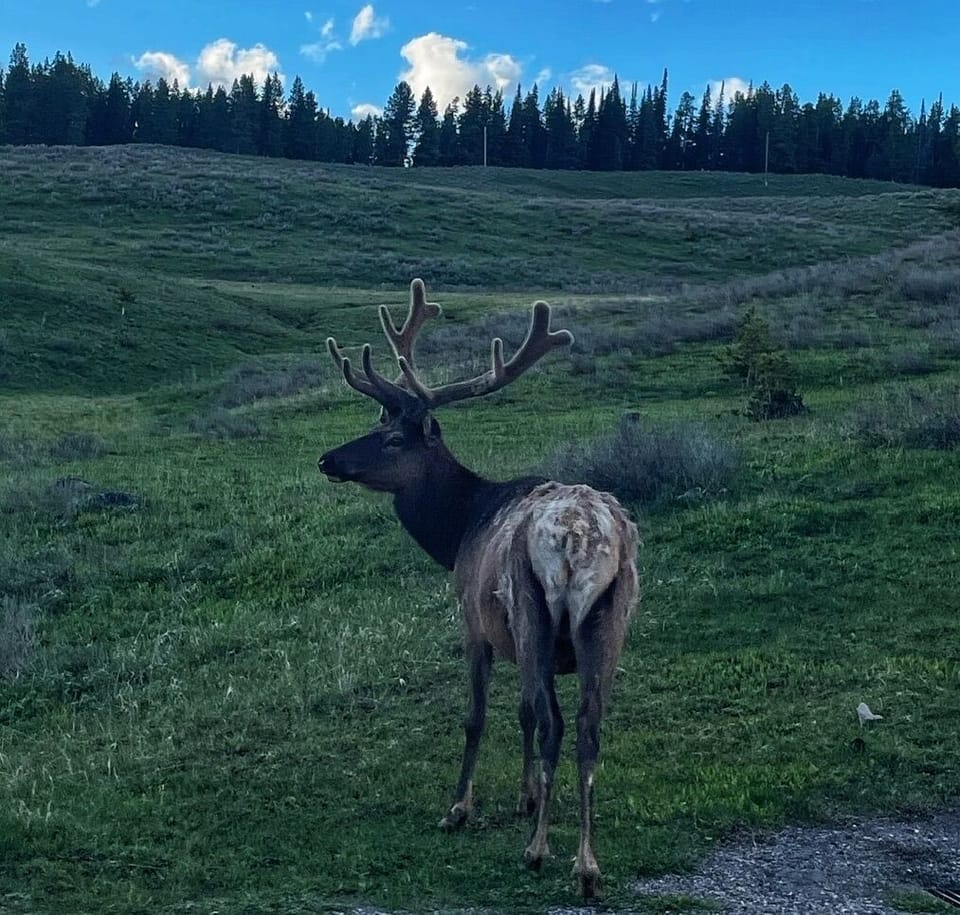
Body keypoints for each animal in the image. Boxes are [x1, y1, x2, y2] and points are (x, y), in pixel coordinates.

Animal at [317, 279, 639, 899]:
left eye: (392, 440)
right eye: (376, 426)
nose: (327, 458)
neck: (460, 529)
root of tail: (579, 538)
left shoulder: (473, 619)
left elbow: (479, 715)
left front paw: (459, 808)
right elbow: (522, 712)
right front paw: (527, 796)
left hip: (535, 611)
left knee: (557, 722)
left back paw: (538, 852)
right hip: (608, 620)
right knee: (588, 724)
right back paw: (587, 865)